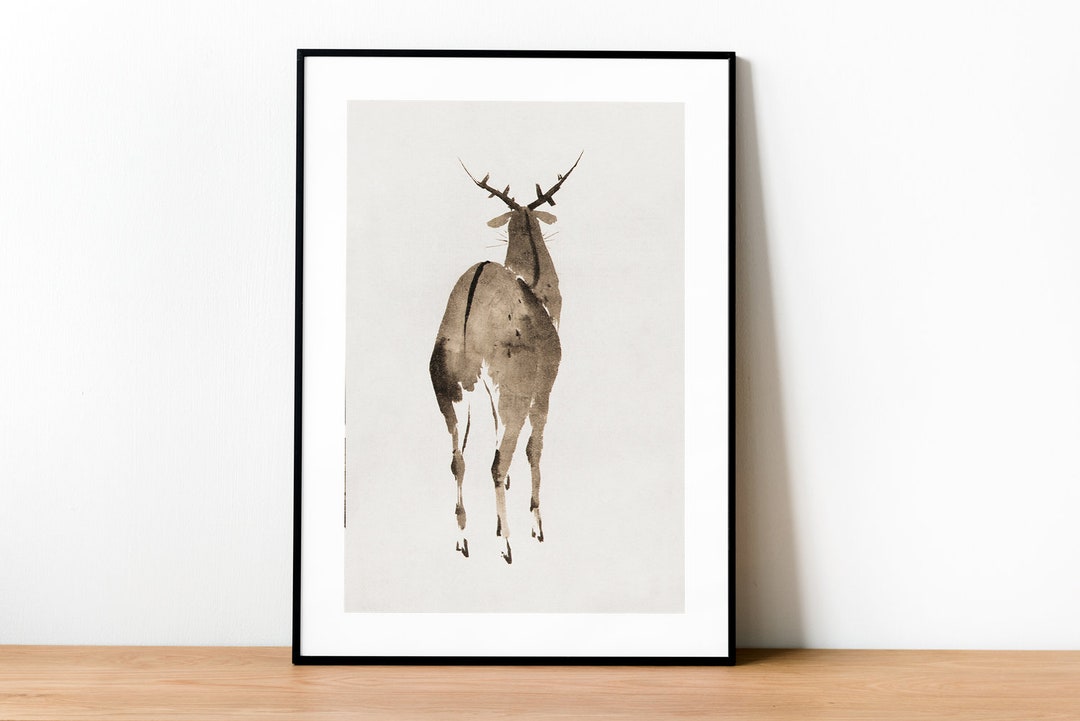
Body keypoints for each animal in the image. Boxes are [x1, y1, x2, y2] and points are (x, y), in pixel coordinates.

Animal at [429, 153, 581, 564]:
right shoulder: (544, 386)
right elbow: (534, 449)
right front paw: (536, 526)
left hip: (448, 389)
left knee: (457, 459)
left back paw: (463, 540)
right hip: (511, 389)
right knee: (498, 460)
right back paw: (507, 545)